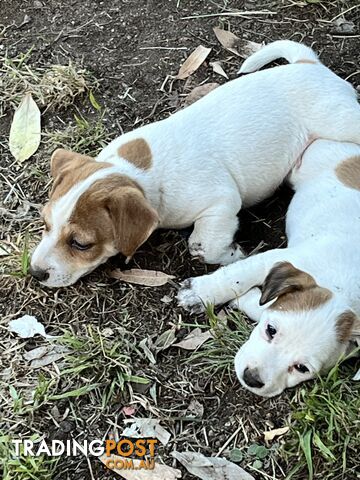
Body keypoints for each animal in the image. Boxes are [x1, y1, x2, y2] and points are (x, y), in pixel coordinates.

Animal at [29, 40, 360, 284]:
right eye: (45, 224)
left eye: (80, 244)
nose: (34, 273)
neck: (140, 173)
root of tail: (308, 65)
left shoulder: (222, 202)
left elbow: (203, 246)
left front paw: (233, 255)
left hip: (341, 122)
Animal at [177, 140, 360, 398]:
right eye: (271, 330)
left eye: (301, 368)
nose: (251, 379)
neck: (343, 287)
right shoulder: (276, 259)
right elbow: (234, 278)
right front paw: (197, 294)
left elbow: (262, 303)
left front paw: (244, 299)